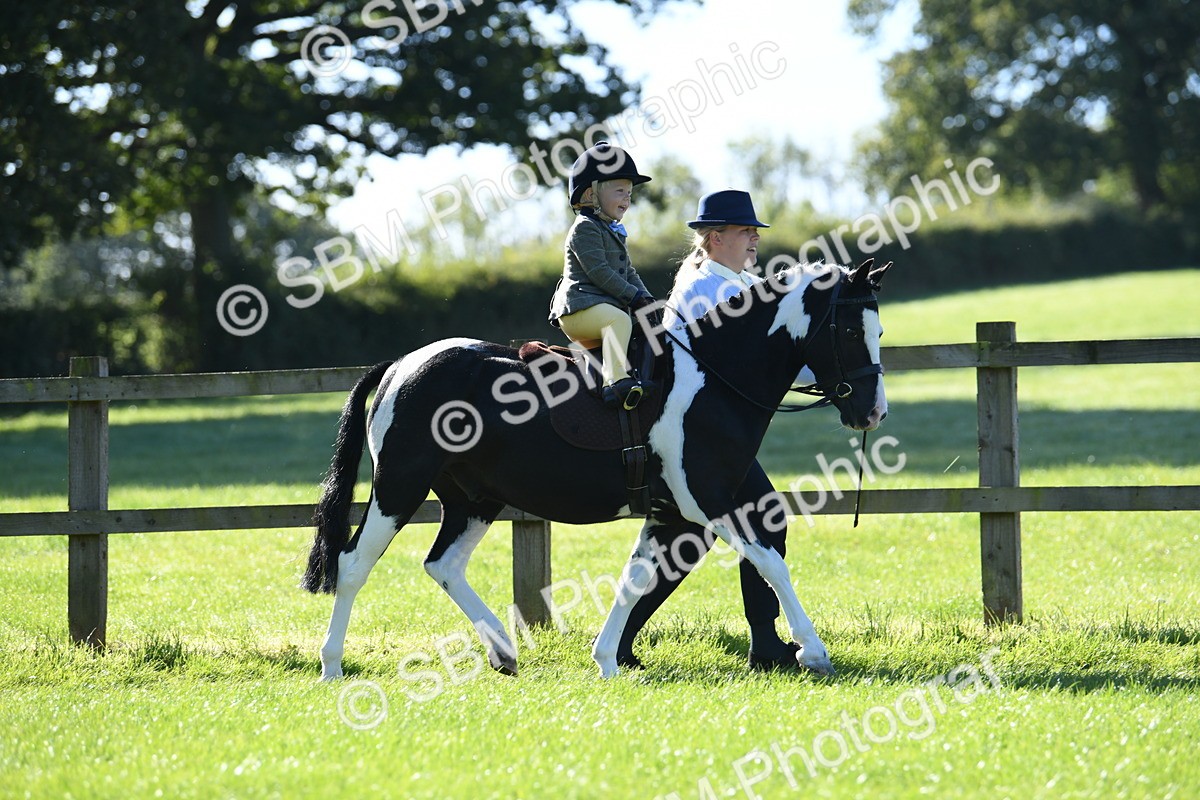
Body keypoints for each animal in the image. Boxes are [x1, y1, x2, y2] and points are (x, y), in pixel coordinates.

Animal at [302, 258, 891, 680]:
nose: (873, 412)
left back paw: (503, 653)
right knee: (352, 565)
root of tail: (402, 364)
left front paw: (607, 659)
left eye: (879, 330)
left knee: (443, 565)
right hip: (398, 488)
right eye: (850, 330)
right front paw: (812, 652)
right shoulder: (709, 502)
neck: (713, 379)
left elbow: (637, 578)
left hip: (473, 500)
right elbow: (770, 562)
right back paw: (332, 666)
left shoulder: (674, 513)